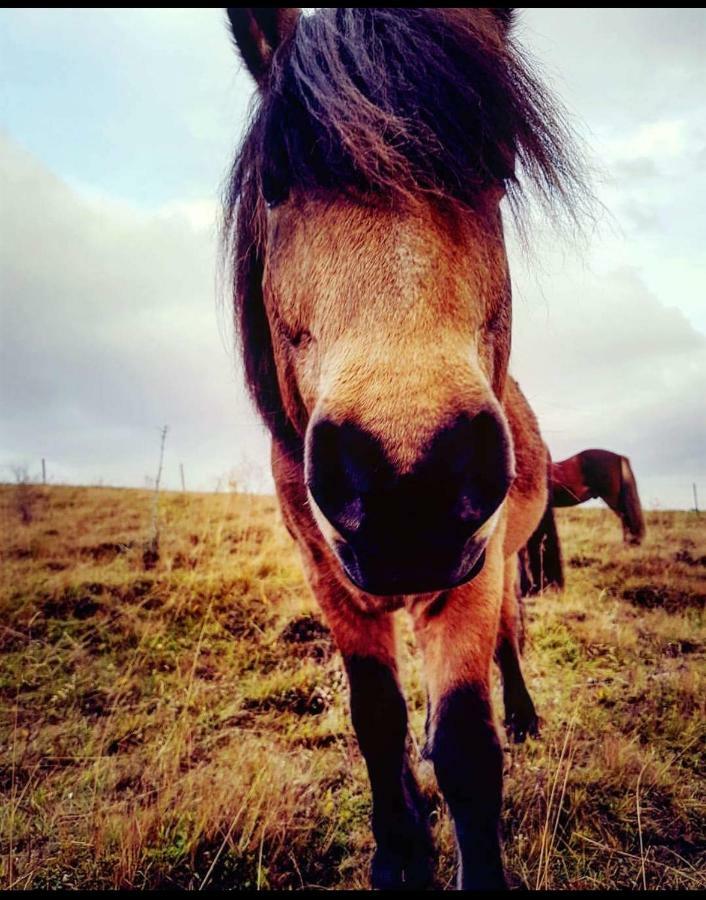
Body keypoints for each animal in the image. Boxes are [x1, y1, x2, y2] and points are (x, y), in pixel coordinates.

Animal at [221, 8, 584, 892]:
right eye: (274, 184)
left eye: (498, 168)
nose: (409, 477)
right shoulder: (331, 579)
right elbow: (378, 719)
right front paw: (400, 849)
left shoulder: (472, 572)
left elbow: (467, 745)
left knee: (509, 639)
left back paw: (525, 715)